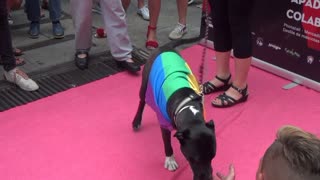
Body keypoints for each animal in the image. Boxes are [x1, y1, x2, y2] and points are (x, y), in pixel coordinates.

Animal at [131, 38, 216, 180]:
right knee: (142, 100)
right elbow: (167, 143)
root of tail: (165, 47)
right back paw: (136, 120)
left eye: (212, 157)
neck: (187, 106)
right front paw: (170, 160)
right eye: (194, 159)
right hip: (145, 82)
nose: (208, 178)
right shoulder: (164, 124)